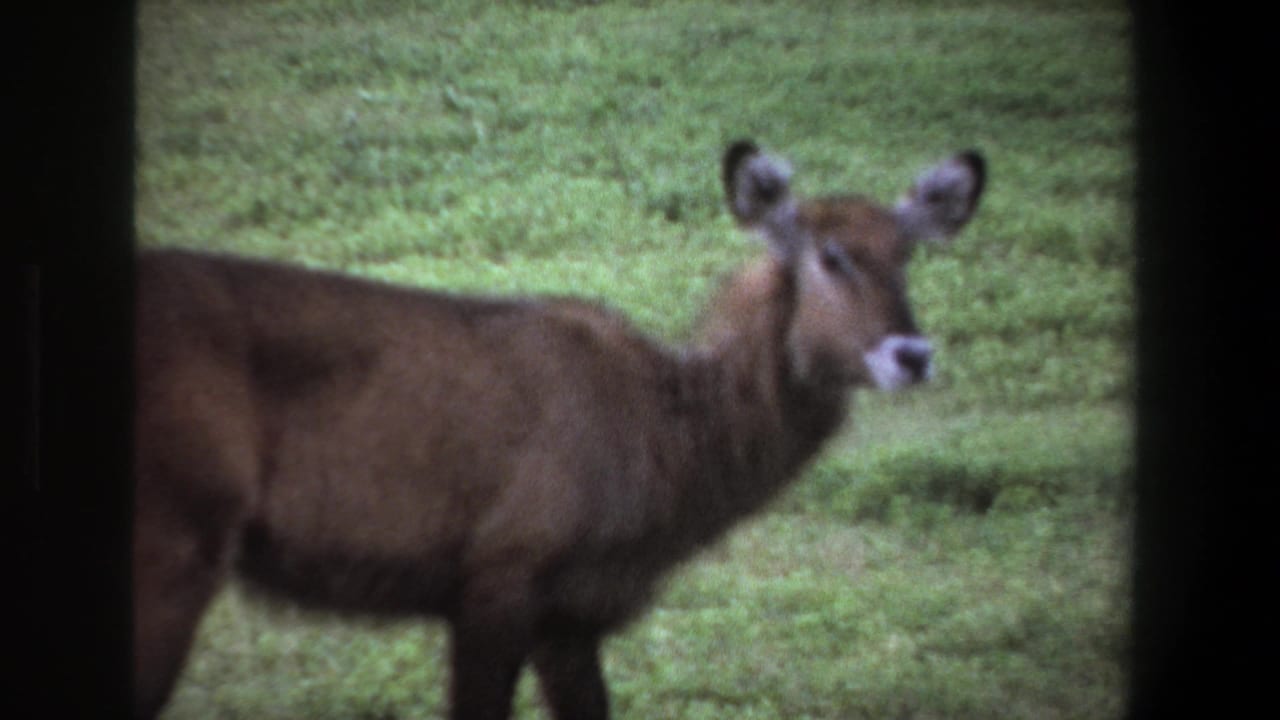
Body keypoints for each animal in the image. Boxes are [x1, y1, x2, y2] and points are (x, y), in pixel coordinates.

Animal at [133, 140, 985, 720]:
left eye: (908, 253)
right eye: (830, 256)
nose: (912, 354)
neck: (670, 446)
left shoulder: (572, 617)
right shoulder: (499, 578)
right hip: (172, 546)